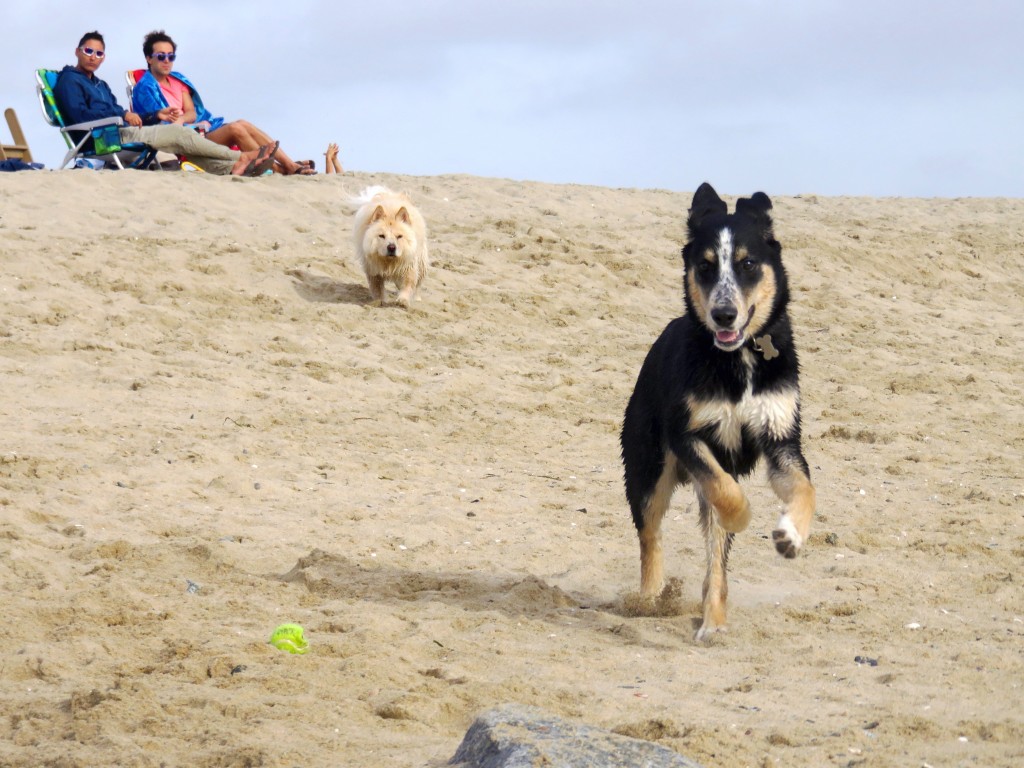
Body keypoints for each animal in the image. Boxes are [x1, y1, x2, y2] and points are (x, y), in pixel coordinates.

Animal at [614, 182, 815, 643]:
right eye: (705, 267)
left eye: (748, 264)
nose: (724, 315)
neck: (737, 359)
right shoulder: (689, 435)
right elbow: (728, 496)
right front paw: (744, 515)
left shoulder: (781, 440)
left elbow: (804, 489)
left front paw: (791, 535)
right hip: (648, 467)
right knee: (650, 533)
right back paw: (650, 599)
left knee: (714, 561)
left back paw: (712, 619)